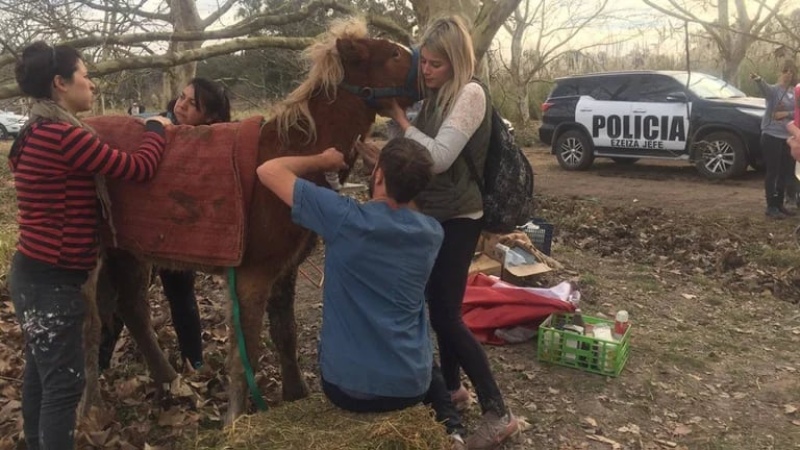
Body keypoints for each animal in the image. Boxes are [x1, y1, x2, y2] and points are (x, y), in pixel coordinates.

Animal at [82, 18, 418, 422]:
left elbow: (285, 332)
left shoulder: (284, 269)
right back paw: (93, 412)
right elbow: (247, 351)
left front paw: (295, 396)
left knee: (130, 310)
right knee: (89, 327)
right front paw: (237, 418)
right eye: (395, 54)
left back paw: (170, 383)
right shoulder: (251, 274)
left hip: (126, 252)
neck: (288, 157)